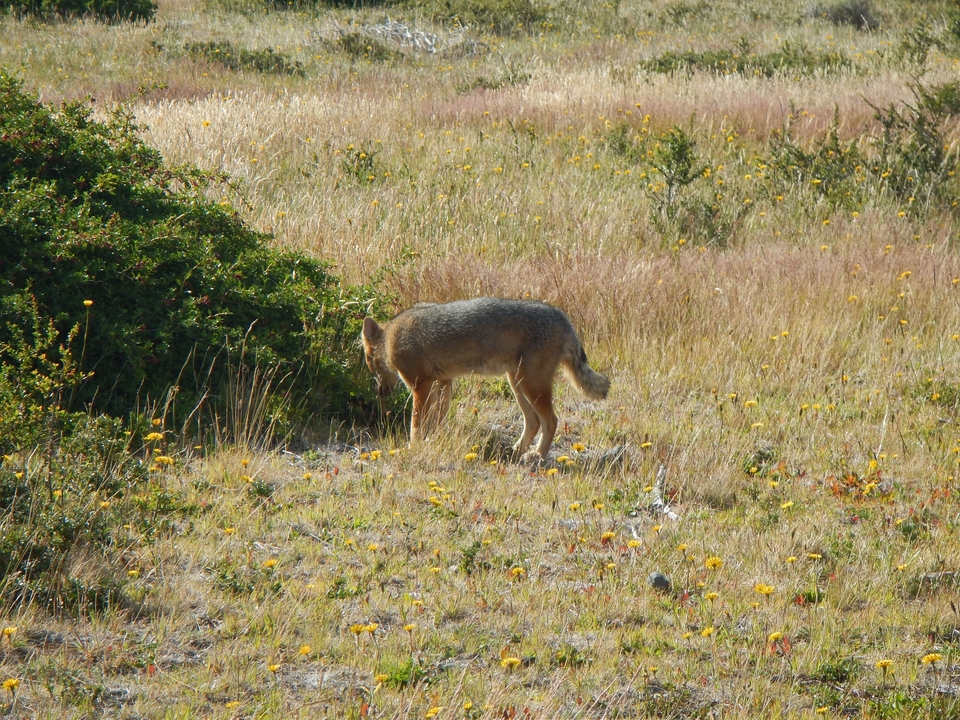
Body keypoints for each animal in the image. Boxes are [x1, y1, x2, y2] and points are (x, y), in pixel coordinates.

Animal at [361, 297, 610, 460]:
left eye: (369, 361)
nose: (379, 392)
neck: (392, 335)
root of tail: (562, 317)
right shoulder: (443, 382)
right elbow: (437, 422)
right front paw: (432, 442)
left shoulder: (420, 385)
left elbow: (416, 425)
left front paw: (412, 448)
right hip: (517, 384)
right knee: (534, 421)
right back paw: (516, 452)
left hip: (530, 386)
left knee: (551, 420)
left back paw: (537, 455)